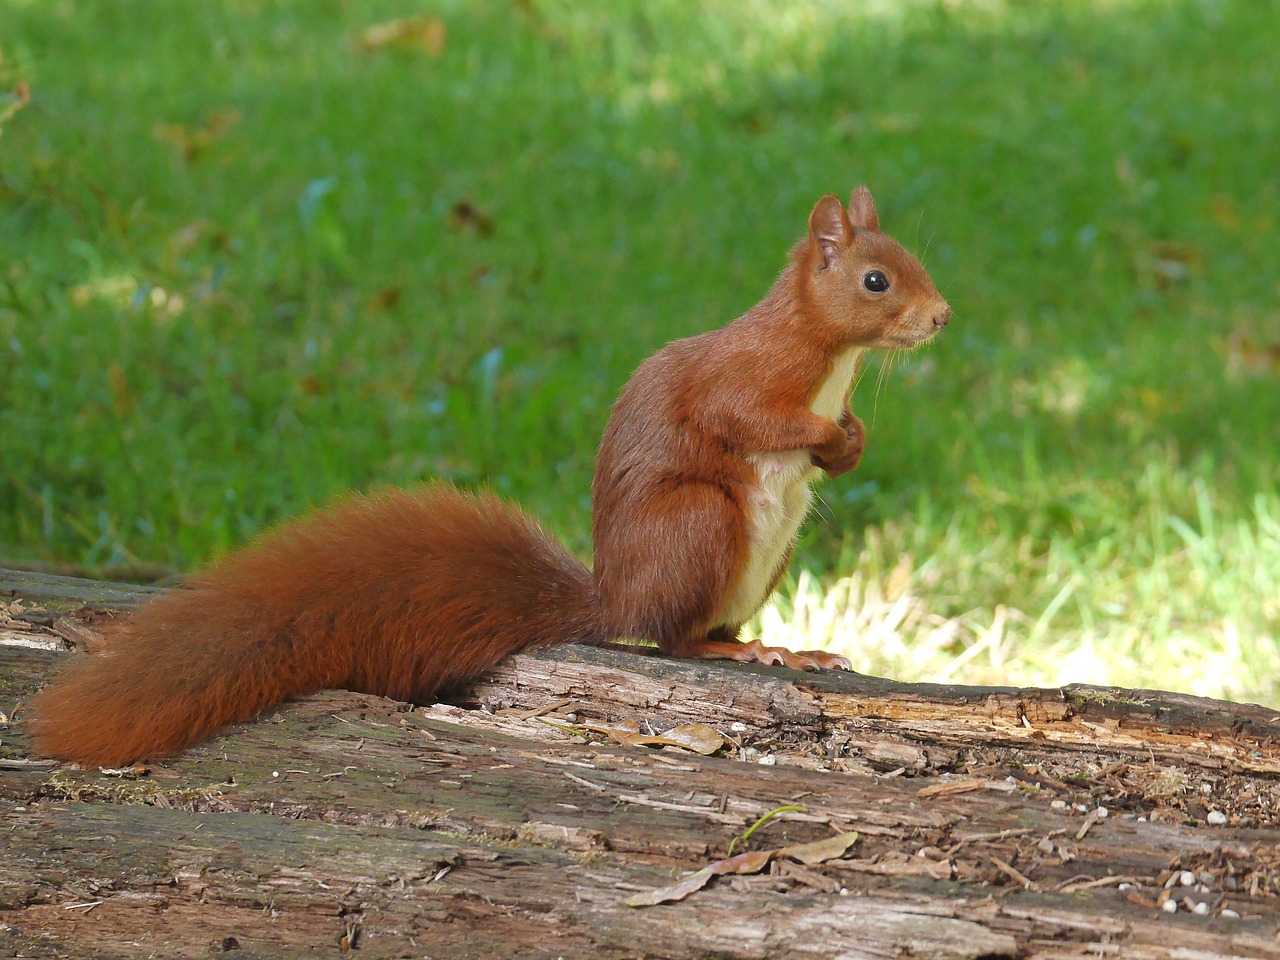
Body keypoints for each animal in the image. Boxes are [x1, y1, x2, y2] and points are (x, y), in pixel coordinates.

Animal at [27, 188, 952, 768]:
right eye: (876, 280)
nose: (942, 316)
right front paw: (824, 433)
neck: (831, 356)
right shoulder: (744, 379)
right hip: (700, 521)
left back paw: (789, 646)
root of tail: (615, 595)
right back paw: (748, 650)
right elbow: (749, 418)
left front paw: (851, 441)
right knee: (676, 637)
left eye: (914, 259)